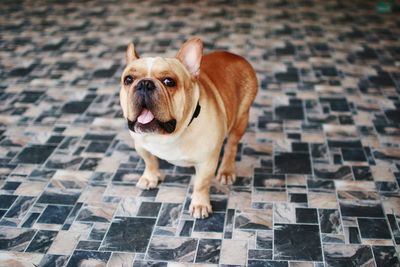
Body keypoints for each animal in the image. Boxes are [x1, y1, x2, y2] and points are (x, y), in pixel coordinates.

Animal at [119, 37, 258, 219]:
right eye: (128, 79)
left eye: (169, 82)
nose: (144, 83)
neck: (168, 135)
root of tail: (235, 56)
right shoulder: (141, 145)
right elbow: (149, 161)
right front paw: (150, 177)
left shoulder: (207, 162)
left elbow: (201, 184)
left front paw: (200, 204)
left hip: (241, 118)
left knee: (231, 146)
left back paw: (226, 171)